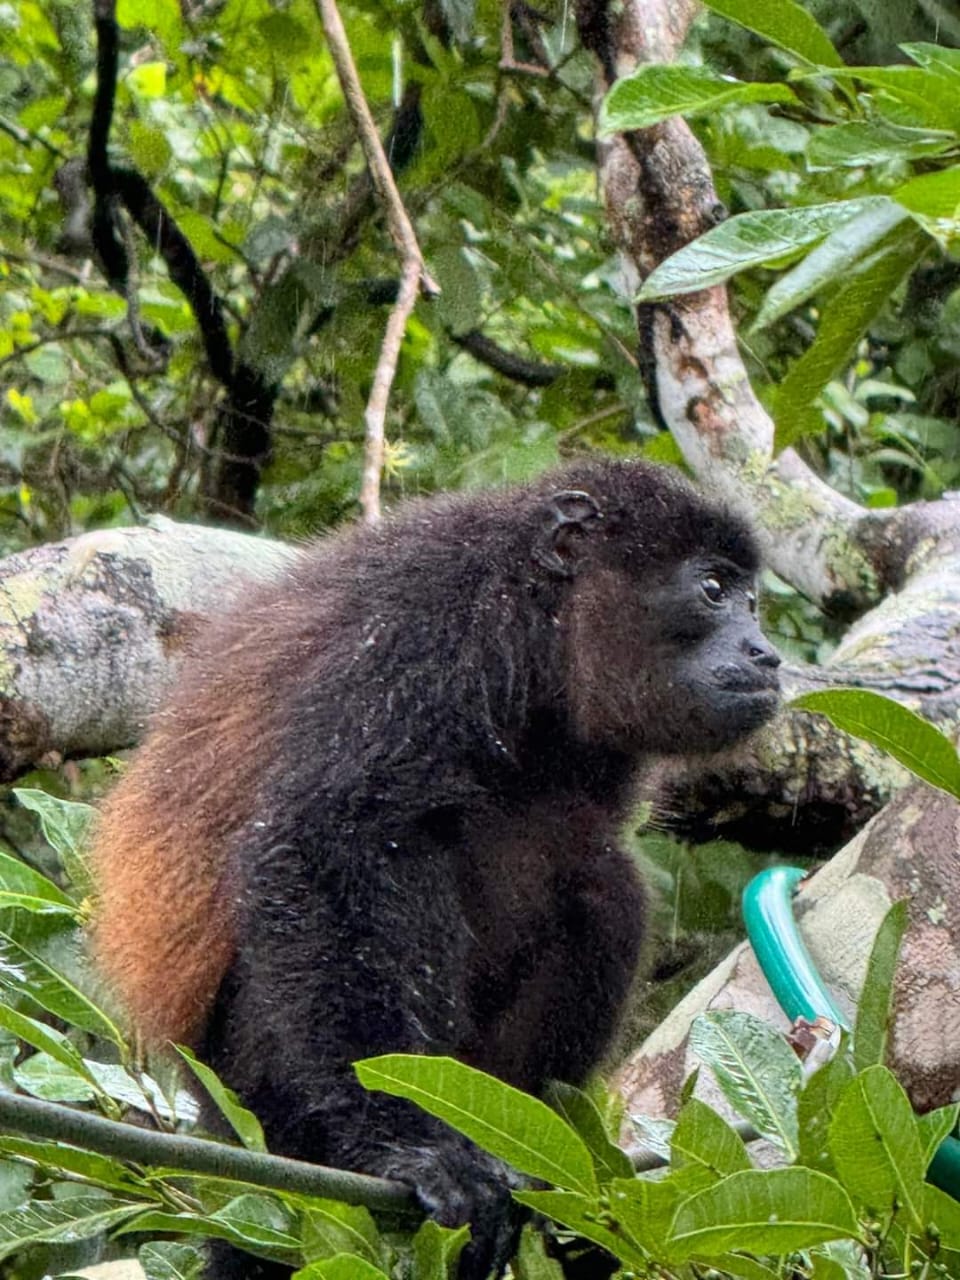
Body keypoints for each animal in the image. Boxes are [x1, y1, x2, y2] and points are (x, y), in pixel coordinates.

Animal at [91, 458, 780, 1279]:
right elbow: (330, 839)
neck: (543, 629)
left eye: (752, 601)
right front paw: (411, 1146)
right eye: (712, 588)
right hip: (256, 1086)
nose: (767, 652)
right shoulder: (426, 627)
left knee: (599, 881)